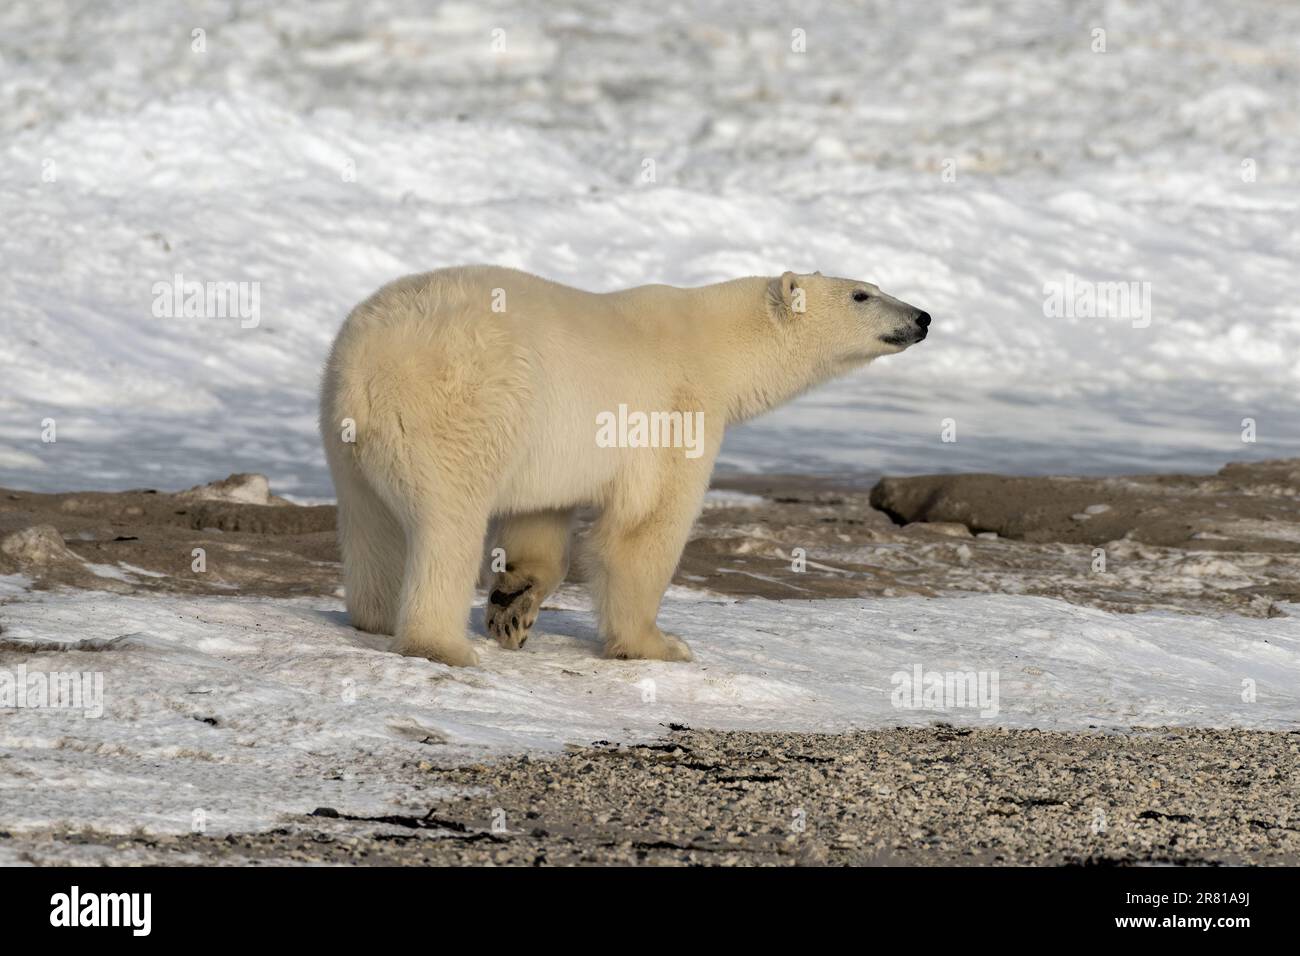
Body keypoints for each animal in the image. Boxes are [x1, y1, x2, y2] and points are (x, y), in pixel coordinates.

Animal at [319, 266, 930, 666]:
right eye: (861, 294)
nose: (922, 316)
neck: (718, 346)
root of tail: (370, 363)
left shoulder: (554, 443)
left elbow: (542, 516)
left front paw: (514, 609)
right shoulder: (673, 408)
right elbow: (643, 529)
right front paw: (659, 645)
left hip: (344, 435)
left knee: (371, 523)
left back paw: (375, 616)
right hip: (460, 404)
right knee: (448, 520)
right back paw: (441, 645)